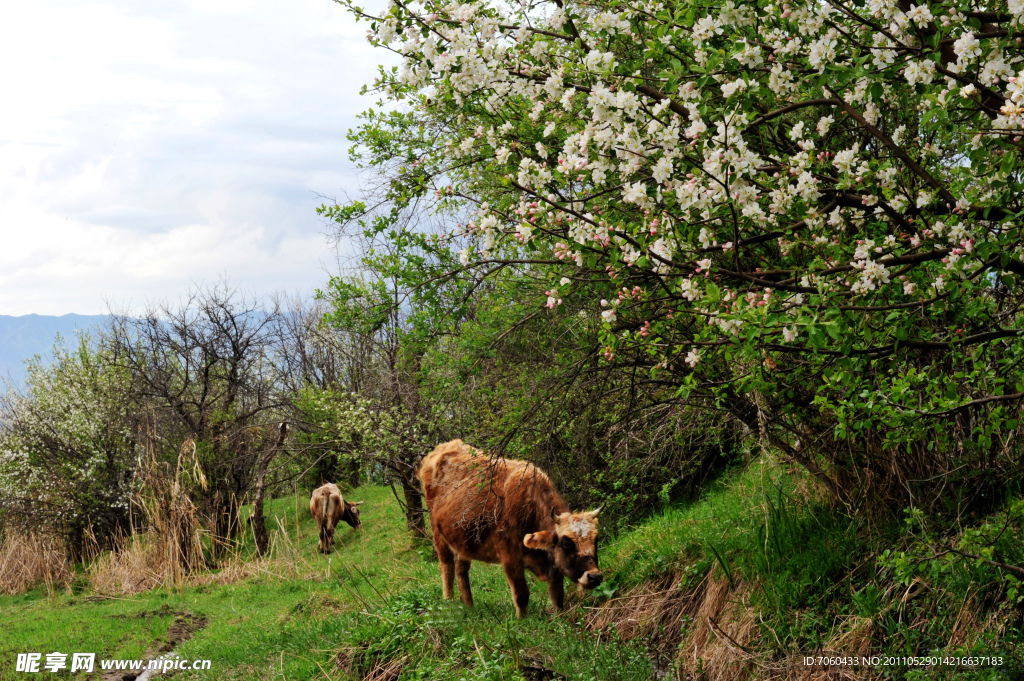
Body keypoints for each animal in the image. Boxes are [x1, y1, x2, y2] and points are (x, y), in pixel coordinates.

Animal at [417, 438, 602, 618]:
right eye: (566, 543)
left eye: (596, 540)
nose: (594, 576)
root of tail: (443, 448)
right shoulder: (510, 557)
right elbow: (521, 594)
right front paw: (522, 621)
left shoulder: (554, 565)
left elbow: (557, 596)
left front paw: (558, 618)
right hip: (438, 535)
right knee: (446, 567)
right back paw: (448, 602)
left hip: (462, 541)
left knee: (461, 570)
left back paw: (469, 606)